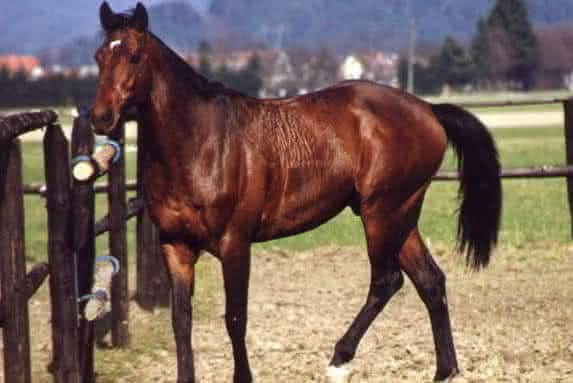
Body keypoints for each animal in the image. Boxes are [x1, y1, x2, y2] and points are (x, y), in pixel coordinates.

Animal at [90, 2, 500, 380]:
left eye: (134, 56)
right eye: (99, 56)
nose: (100, 117)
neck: (201, 143)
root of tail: (428, 110)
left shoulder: (234, 244)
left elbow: (235, 317)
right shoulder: (175, 245)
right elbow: (181, 320)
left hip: (383, 212)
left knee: (387, 281)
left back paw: (339, 359)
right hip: (401, 215)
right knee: (429, 281)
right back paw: (444, 370)